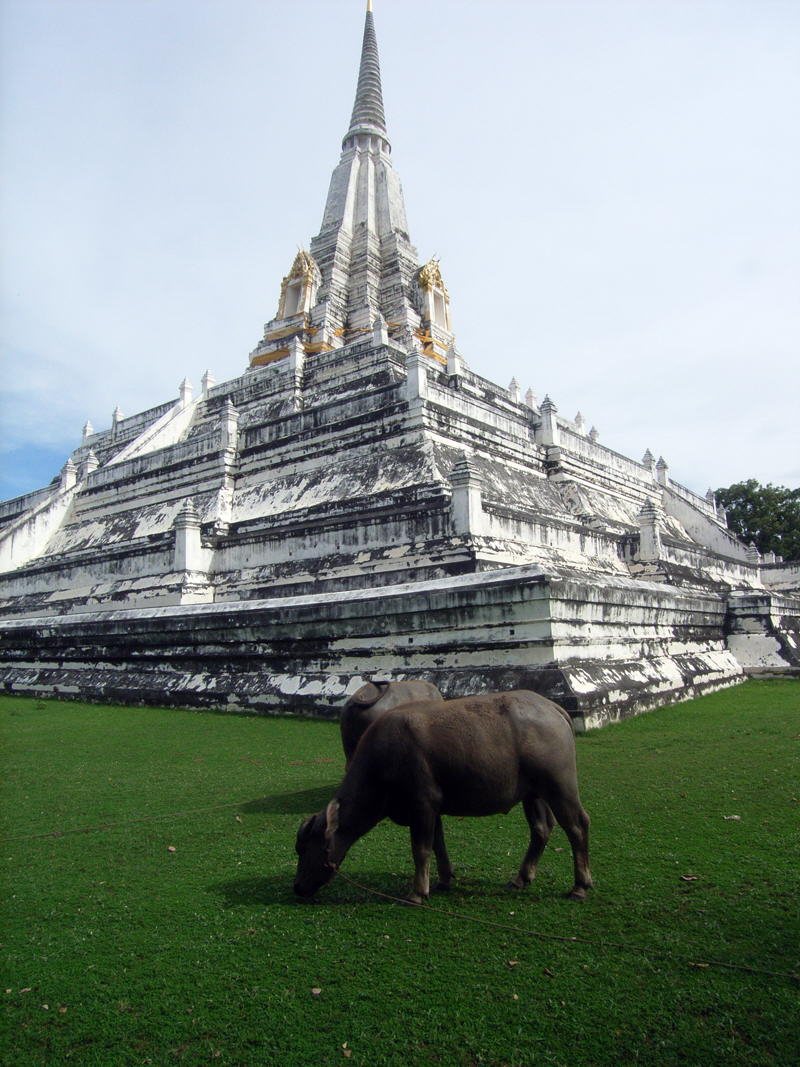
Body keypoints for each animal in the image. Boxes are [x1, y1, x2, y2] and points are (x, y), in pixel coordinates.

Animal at [294, 687, 588, 904]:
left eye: (305, 848)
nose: (298, 888)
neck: (382, 762)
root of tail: (553, 708)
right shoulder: (433, 807)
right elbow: (438, 843)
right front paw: (444, 879)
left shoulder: (421, 803)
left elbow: (421, 848)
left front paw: (416, 892)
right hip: (534, 793)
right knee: (541, 828)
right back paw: (521, 878)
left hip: (559, 785)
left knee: (577, 825)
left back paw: (580, 886)